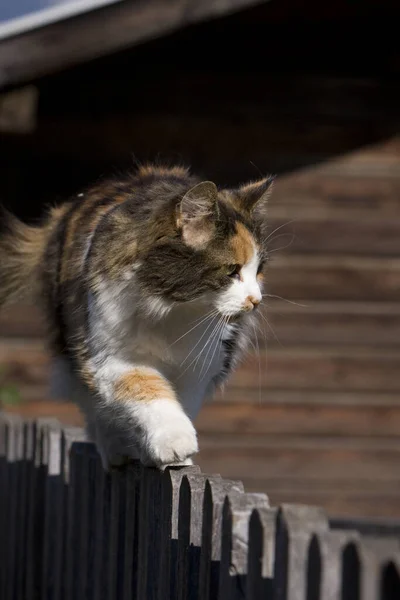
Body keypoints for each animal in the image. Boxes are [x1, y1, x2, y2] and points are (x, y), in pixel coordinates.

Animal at [0, 164, 274, 468]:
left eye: (258, 270)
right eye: (232, 271)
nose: (256, 300)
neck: (172, 309)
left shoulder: (199, 367)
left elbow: (182, 402)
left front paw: (174, 457)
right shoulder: (111, 359)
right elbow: (148, 391)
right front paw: (174, 442)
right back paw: (116, 450)